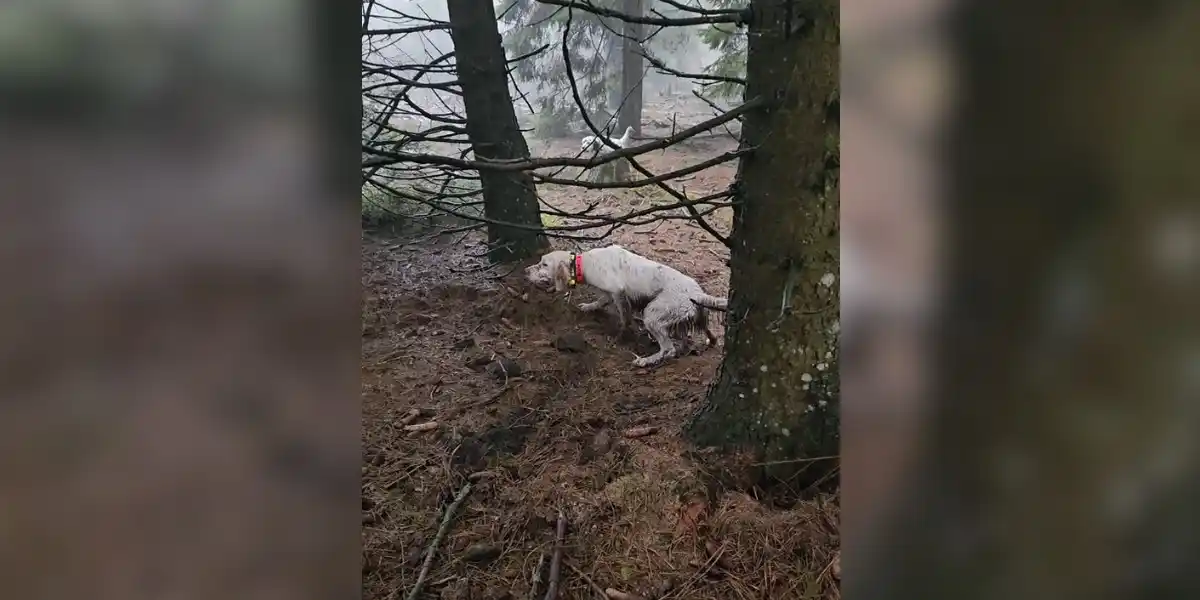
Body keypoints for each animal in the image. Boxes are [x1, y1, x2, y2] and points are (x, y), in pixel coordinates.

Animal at [525, 244, 720, 367]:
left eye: (544, 264)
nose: (526, 271)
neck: (584, 263)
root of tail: (697, 293)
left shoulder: (618, 292)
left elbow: (624, 318)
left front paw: (619, 335)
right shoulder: (608, 292)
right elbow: (601, 300)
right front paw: (589, 306)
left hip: (652, 314)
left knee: (668, 349)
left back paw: (646, 360)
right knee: (698, 337)